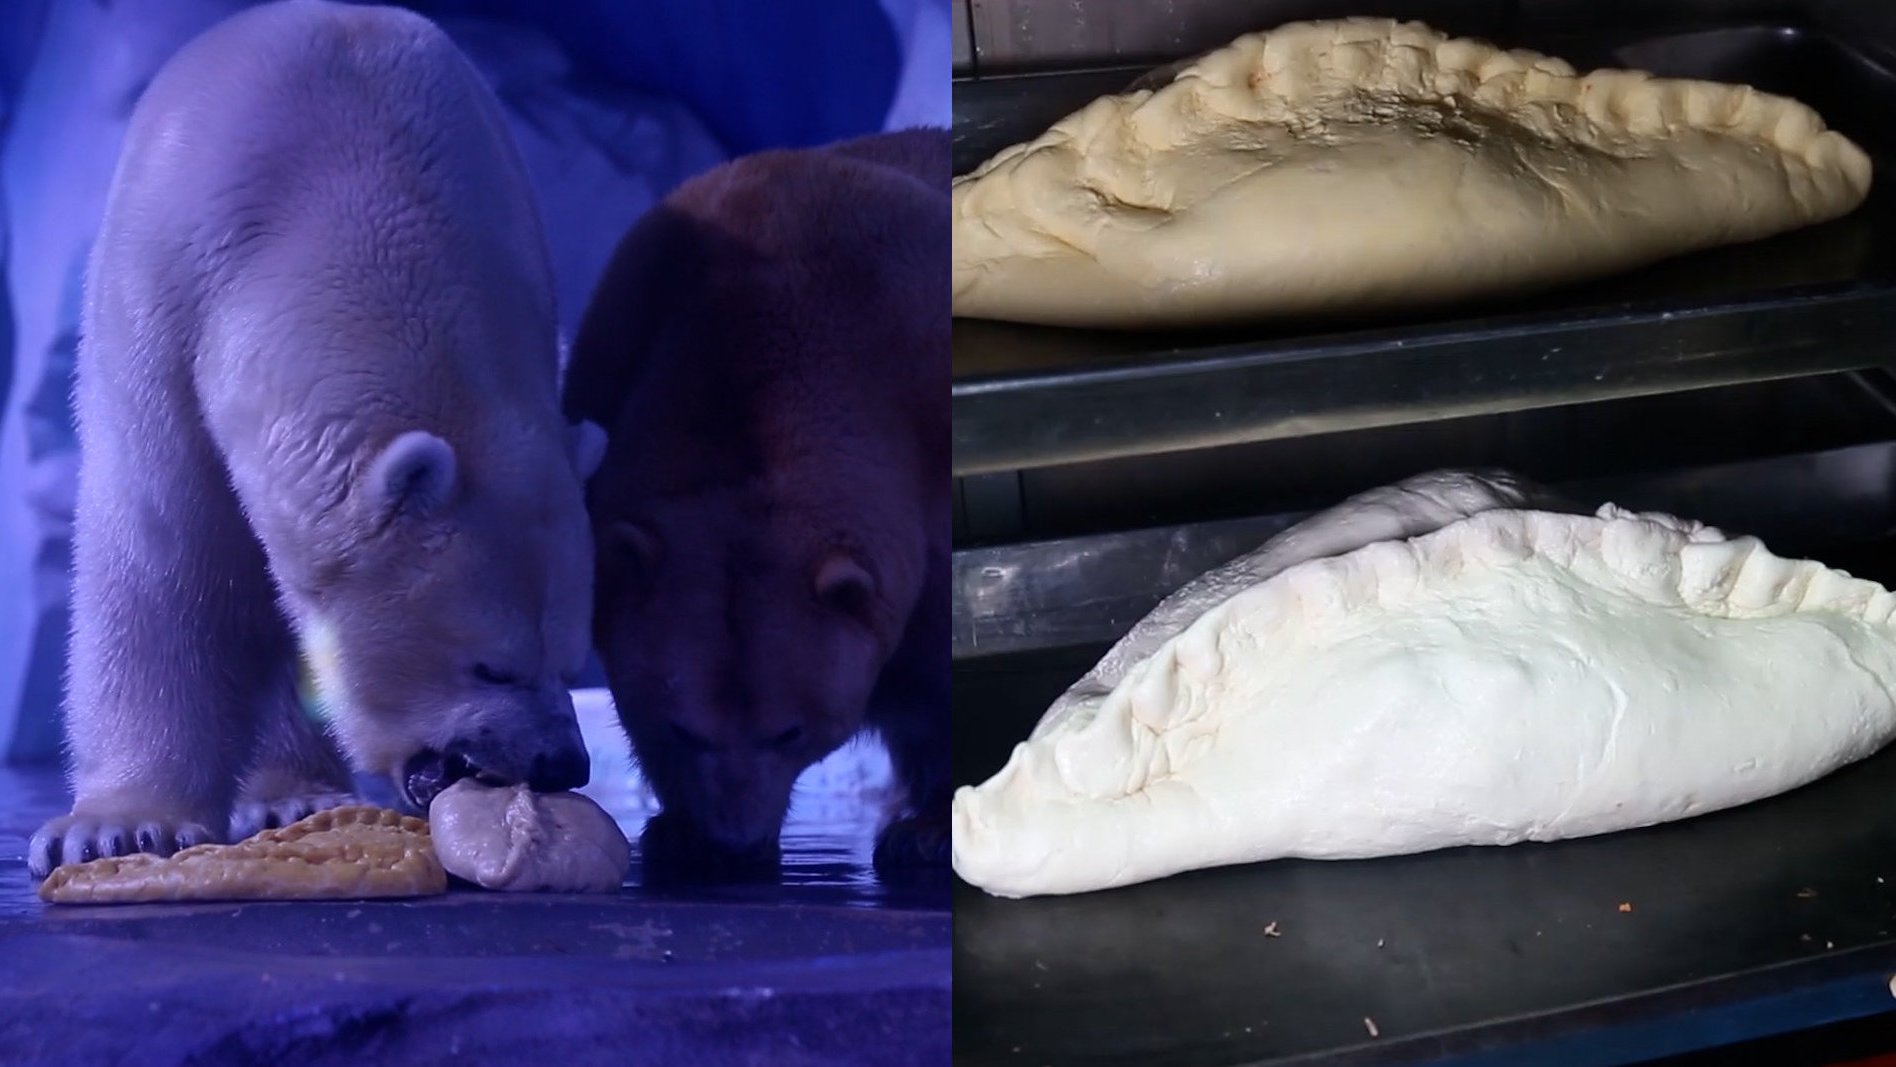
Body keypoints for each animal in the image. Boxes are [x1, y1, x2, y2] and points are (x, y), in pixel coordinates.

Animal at [27, 0, 606, 879]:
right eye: (490, 664)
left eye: (570, 658)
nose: (561, 761)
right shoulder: (162, 295)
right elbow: (164, 552)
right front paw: (116, 825)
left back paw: (294, 795)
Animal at [561, 128, 950, 878]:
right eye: (682, 726)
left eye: (790, 730)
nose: (733, 842)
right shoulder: (617, 344)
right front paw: (678, 829)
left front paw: (927, 831)